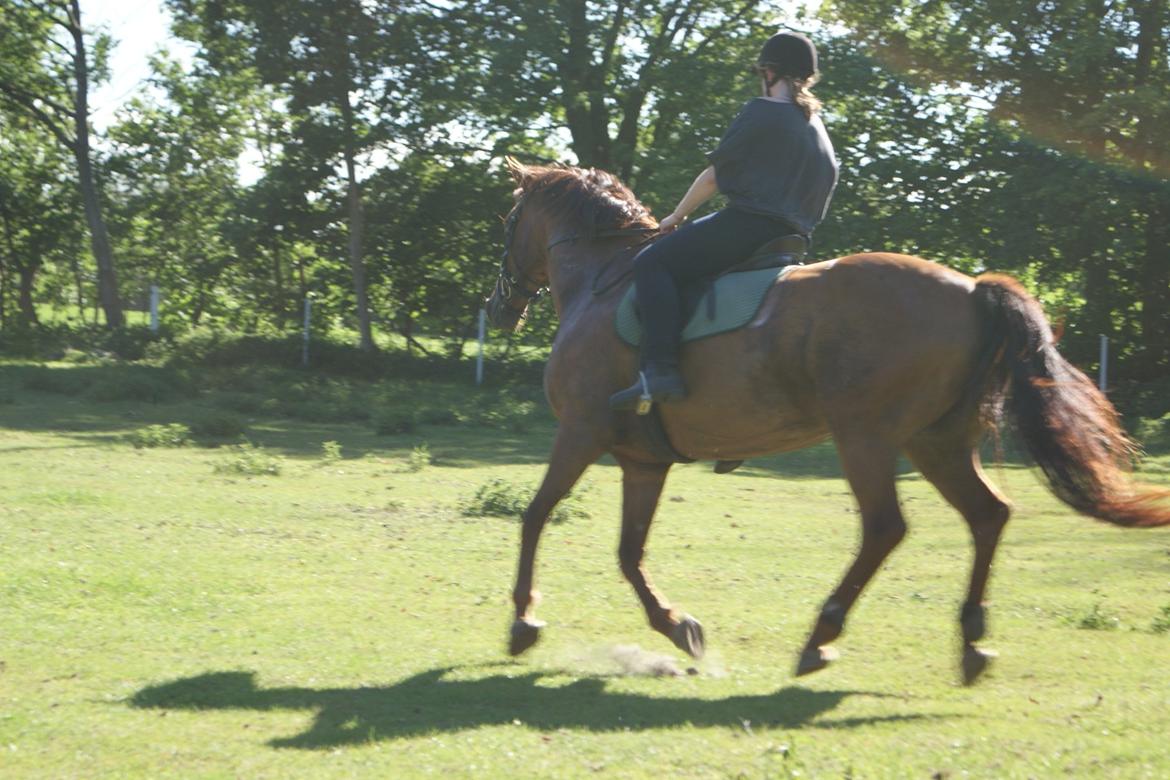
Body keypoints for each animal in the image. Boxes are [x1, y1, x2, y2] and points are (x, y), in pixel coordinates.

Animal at [484, 156, 1170, 682]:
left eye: (509, 222)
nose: (499, 307)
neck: (602, 282)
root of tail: (972, 289)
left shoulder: (580, 432)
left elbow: (535, 515)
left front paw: (523, 618)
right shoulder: (643, 460)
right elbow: (629, 552)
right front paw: (678, 628)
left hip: (866, 438)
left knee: (886, 528)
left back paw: (823, 634)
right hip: (936, 442)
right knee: (987, 515)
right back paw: (971, 641)